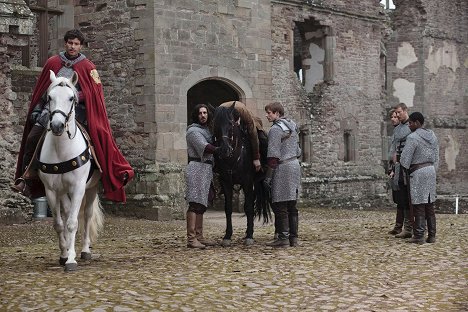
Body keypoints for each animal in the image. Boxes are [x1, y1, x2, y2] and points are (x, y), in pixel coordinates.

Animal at [38, 70, 104, 270]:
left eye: (71, 98)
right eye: (50, 97)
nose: (57, 126)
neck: (61, 150)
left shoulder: (78, 188)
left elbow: (73, 223)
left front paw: (72, 259)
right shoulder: (51, 191)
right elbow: (59, 224)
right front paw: (64, 254)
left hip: (91, 188)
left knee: (87, 215)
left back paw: (85, 250)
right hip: (62, 192)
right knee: (67, 213)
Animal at [213, 102, 270, 246]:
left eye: (230, 124)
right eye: (215, 124)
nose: (225, 150)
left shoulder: (247, 182)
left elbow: (248, 207)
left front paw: (249, 235)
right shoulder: (226, 183)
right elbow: (228, 208)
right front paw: (227, 236)